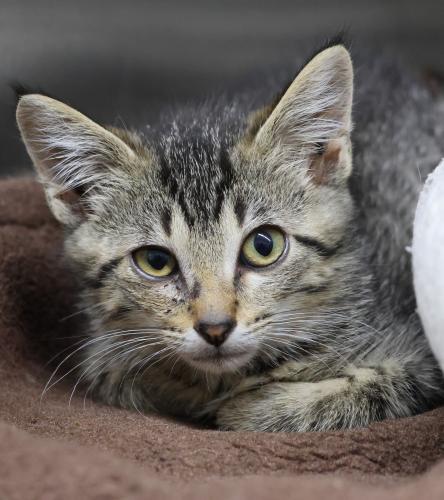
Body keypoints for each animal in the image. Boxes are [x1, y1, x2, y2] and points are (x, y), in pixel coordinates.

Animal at [15, 43, 442, 432]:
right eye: (156, 261)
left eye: (263, 246)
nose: (215, 328)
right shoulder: (106, 355)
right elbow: (116, 372)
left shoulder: (418, 359)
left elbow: (360, 390)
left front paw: (248, 407)